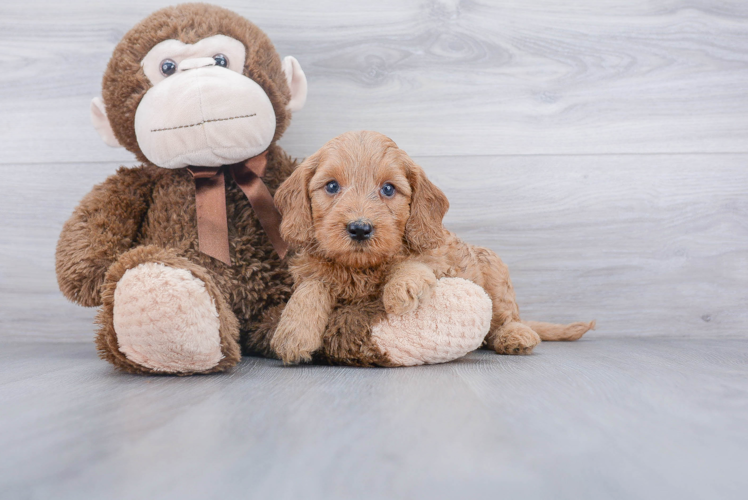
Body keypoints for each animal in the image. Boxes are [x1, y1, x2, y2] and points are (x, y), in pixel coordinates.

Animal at [272, 130, 592, 364]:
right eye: (331, 186)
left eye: (388, 189)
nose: (359, 228)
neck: (361, 268)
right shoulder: (310, 269)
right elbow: (312, 286)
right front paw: (294, 332)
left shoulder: (442, 259)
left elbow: (412, 260)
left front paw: (401, 285)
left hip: (494, 271)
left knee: (504, 319)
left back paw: (515, 337)